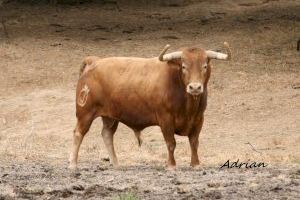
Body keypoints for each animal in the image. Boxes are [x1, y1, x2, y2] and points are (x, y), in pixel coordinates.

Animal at [69, 43, 231, 170]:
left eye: (205, 66)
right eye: (184, 66)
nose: (195, 87)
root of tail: (94, 61)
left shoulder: (198, 119)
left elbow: (194, 142)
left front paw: (195, 164)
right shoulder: (165, 119)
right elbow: (171, 143)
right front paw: (171, 165)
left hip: (110, 116)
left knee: (107, 134)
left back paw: (115, 164)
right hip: (85, 112)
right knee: (79, 133)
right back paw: (73, 164)